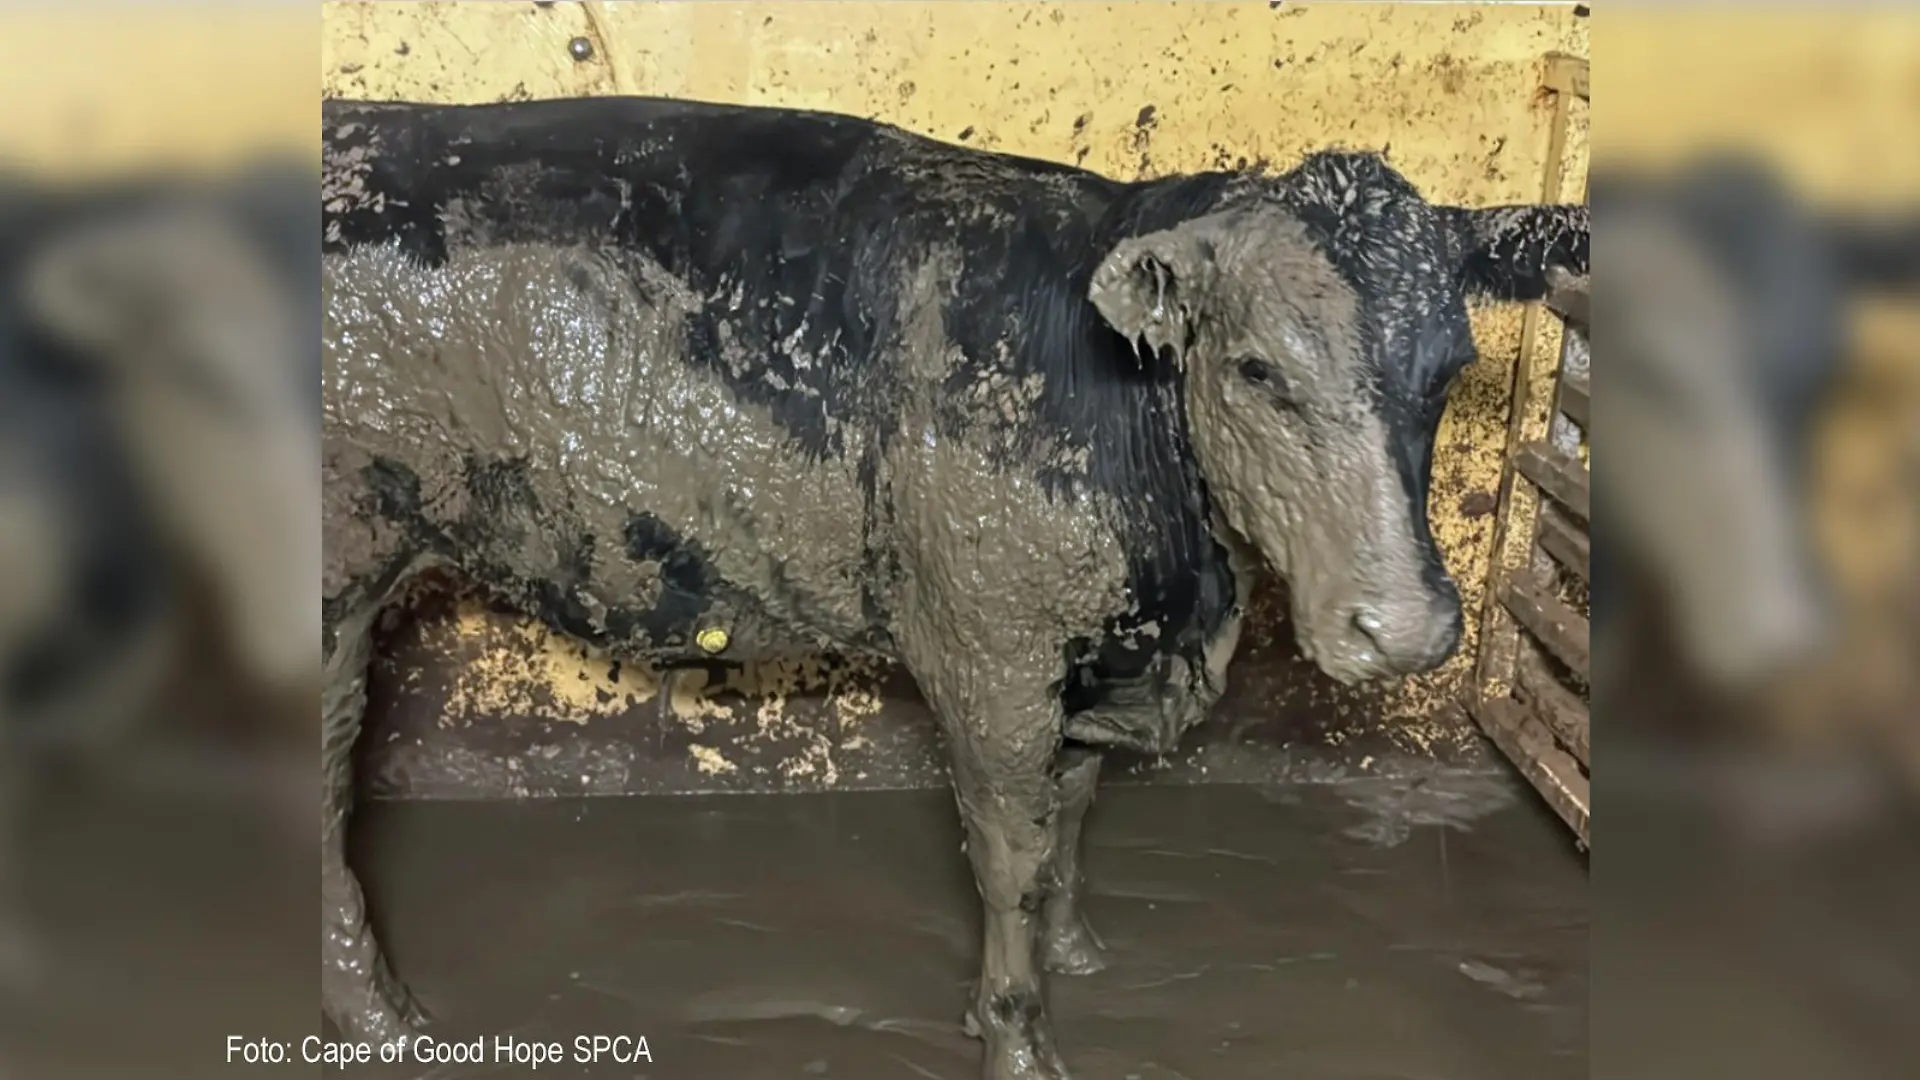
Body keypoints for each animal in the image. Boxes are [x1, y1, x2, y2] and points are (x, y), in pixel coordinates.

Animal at [321, 96, 1587, 1079]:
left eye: (1453, 370)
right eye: (1256, 368)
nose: (1406, 628)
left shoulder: (1086, 645)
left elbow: (1072, 812)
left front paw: (1074, 956)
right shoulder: (994, 650)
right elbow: (1012, 856)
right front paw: (1018, 1036)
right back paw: (382, 1022)